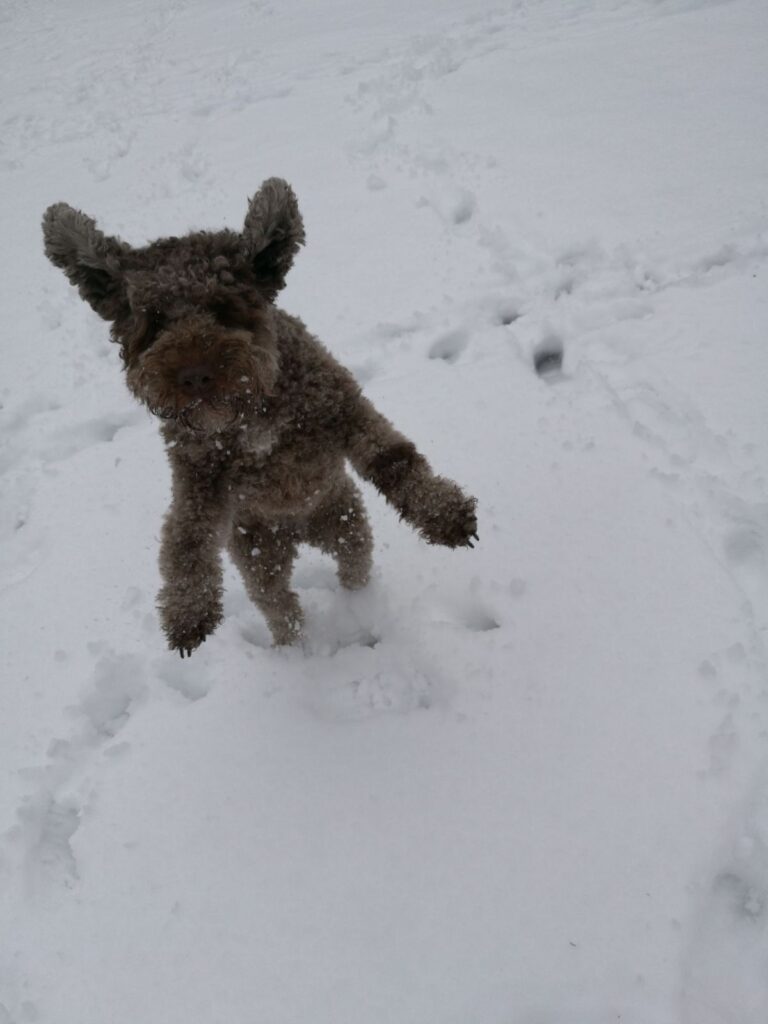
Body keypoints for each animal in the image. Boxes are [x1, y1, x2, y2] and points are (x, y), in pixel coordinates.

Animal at [43, 178, 481, 655]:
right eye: (154, 322)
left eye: (224, 307)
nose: (194, 375)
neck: (251, 418)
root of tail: (298, 531)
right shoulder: (198, 477)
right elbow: (184, 538)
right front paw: (187, 610)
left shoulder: (345, 411)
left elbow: (396, 459)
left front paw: (445, 513)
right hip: (258, 556)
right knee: (280, 606)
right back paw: (294, 649)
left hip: (345, 523)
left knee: (354, 567)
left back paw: (360, 606)